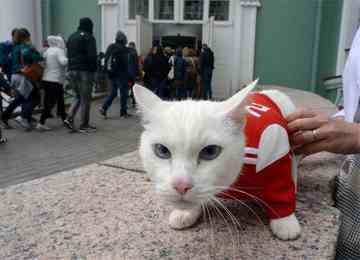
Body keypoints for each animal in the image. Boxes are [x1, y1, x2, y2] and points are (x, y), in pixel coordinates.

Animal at [134, 80, 300, 241]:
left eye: (210, 151)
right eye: (162, 150)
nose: (181, 186)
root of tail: (269, 91)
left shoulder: (276, 153)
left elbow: (281, 189)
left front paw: (285, 222)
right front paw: (186, 212)